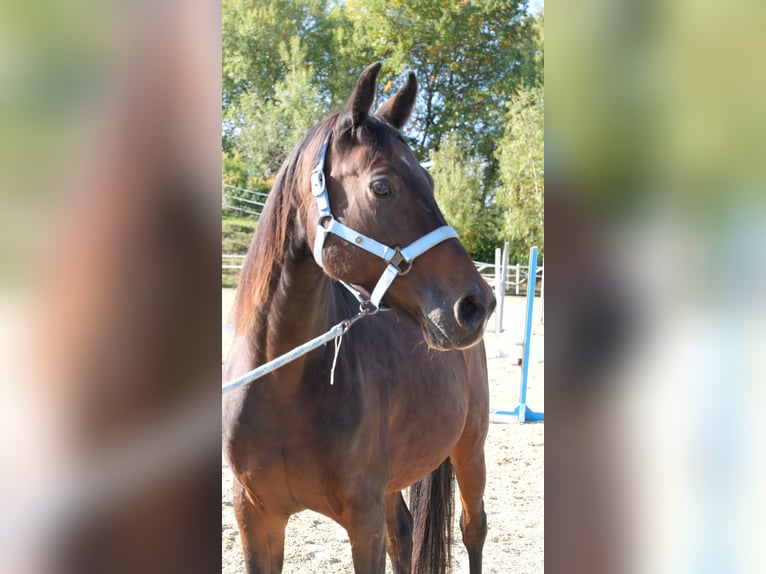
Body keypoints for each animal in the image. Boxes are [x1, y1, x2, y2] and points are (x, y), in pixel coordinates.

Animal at [223, 62, 496, 574]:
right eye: (382, 187)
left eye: (430, 183)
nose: (477, 305)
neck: (283, 384)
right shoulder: (255, 517)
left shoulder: (361, 519)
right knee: (403, 534)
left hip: (470, 451)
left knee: (474, 528)